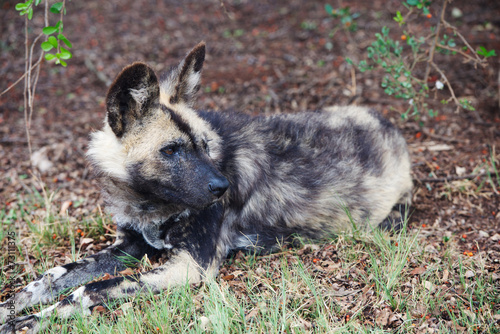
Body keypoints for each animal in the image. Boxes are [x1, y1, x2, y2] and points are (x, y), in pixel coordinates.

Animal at [0, 42, 412, 332]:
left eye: (203, 145)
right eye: (171, 150)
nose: (222, 186)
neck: (149, 202)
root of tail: (393, 129)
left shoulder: (189, 266)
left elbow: (88, 289)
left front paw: (36, 320)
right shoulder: (129, 246)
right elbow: (50, 278)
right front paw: (12, 308)